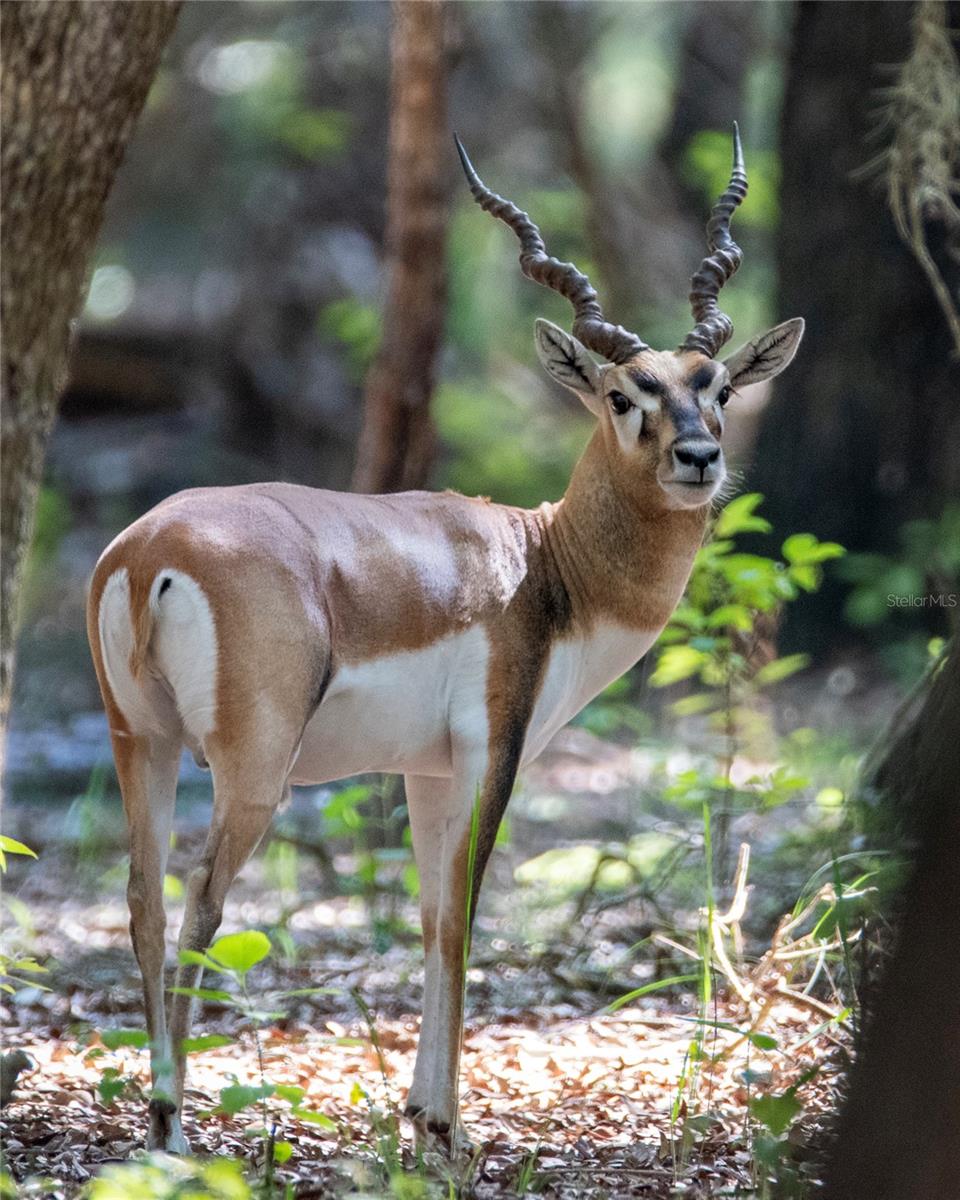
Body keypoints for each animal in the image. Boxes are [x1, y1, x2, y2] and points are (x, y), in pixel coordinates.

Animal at [86, 129, 801, 1152]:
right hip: (251, 769)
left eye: (720, 388)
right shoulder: (492, 748)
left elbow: (429, 920)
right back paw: (174, 1127)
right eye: (624, 394)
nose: (698, 458)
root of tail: (150, 551)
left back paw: (156, 1122)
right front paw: (452, 1132)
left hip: (138, 741)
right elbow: (464, 918)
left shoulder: (423, 770)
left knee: (142, 902)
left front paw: (422, 1114)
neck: (542, 562)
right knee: (199, 904)